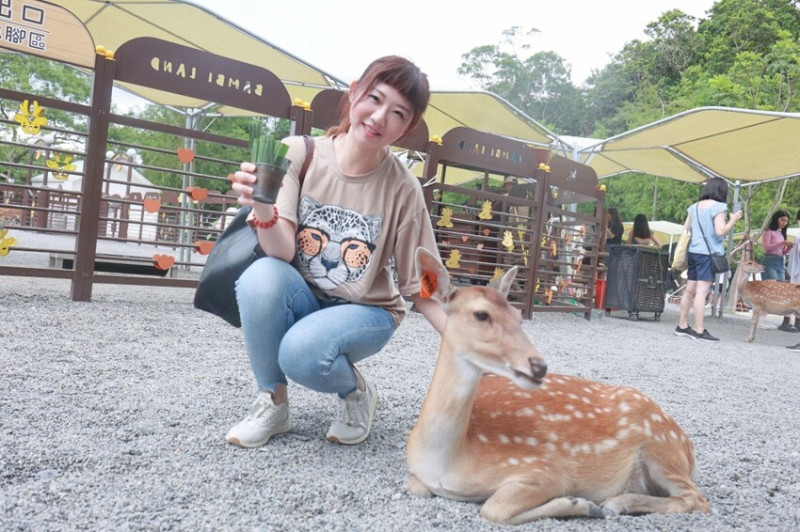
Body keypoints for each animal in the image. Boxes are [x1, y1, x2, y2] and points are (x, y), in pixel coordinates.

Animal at [407, 247, 710, 524]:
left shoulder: (545, 469)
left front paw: (580, 503)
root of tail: (688, 447)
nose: (539, 366)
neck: (447, 464)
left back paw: (616, 503)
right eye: (481, 314)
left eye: (518, 317)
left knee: (696, 499)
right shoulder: (416, 473)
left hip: (661, 448)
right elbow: (416, 487)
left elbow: (494, 509)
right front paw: (582, 504)